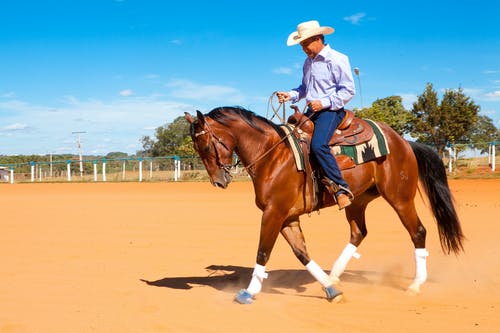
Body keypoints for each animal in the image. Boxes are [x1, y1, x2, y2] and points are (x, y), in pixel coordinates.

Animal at [185, 105, 464, 304]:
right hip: (357, 200)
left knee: (418, 232)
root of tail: (405, 142)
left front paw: (249, 292)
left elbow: (263, 251)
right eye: (197, 149)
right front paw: (329, 289)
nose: (218, 181)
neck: (273, 156)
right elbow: (302, 253)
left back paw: (415, 284)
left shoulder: (274, 213)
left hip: (400, 198)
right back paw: (334, 276)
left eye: (207, 145)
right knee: (359, 232)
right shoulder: (287, 217)